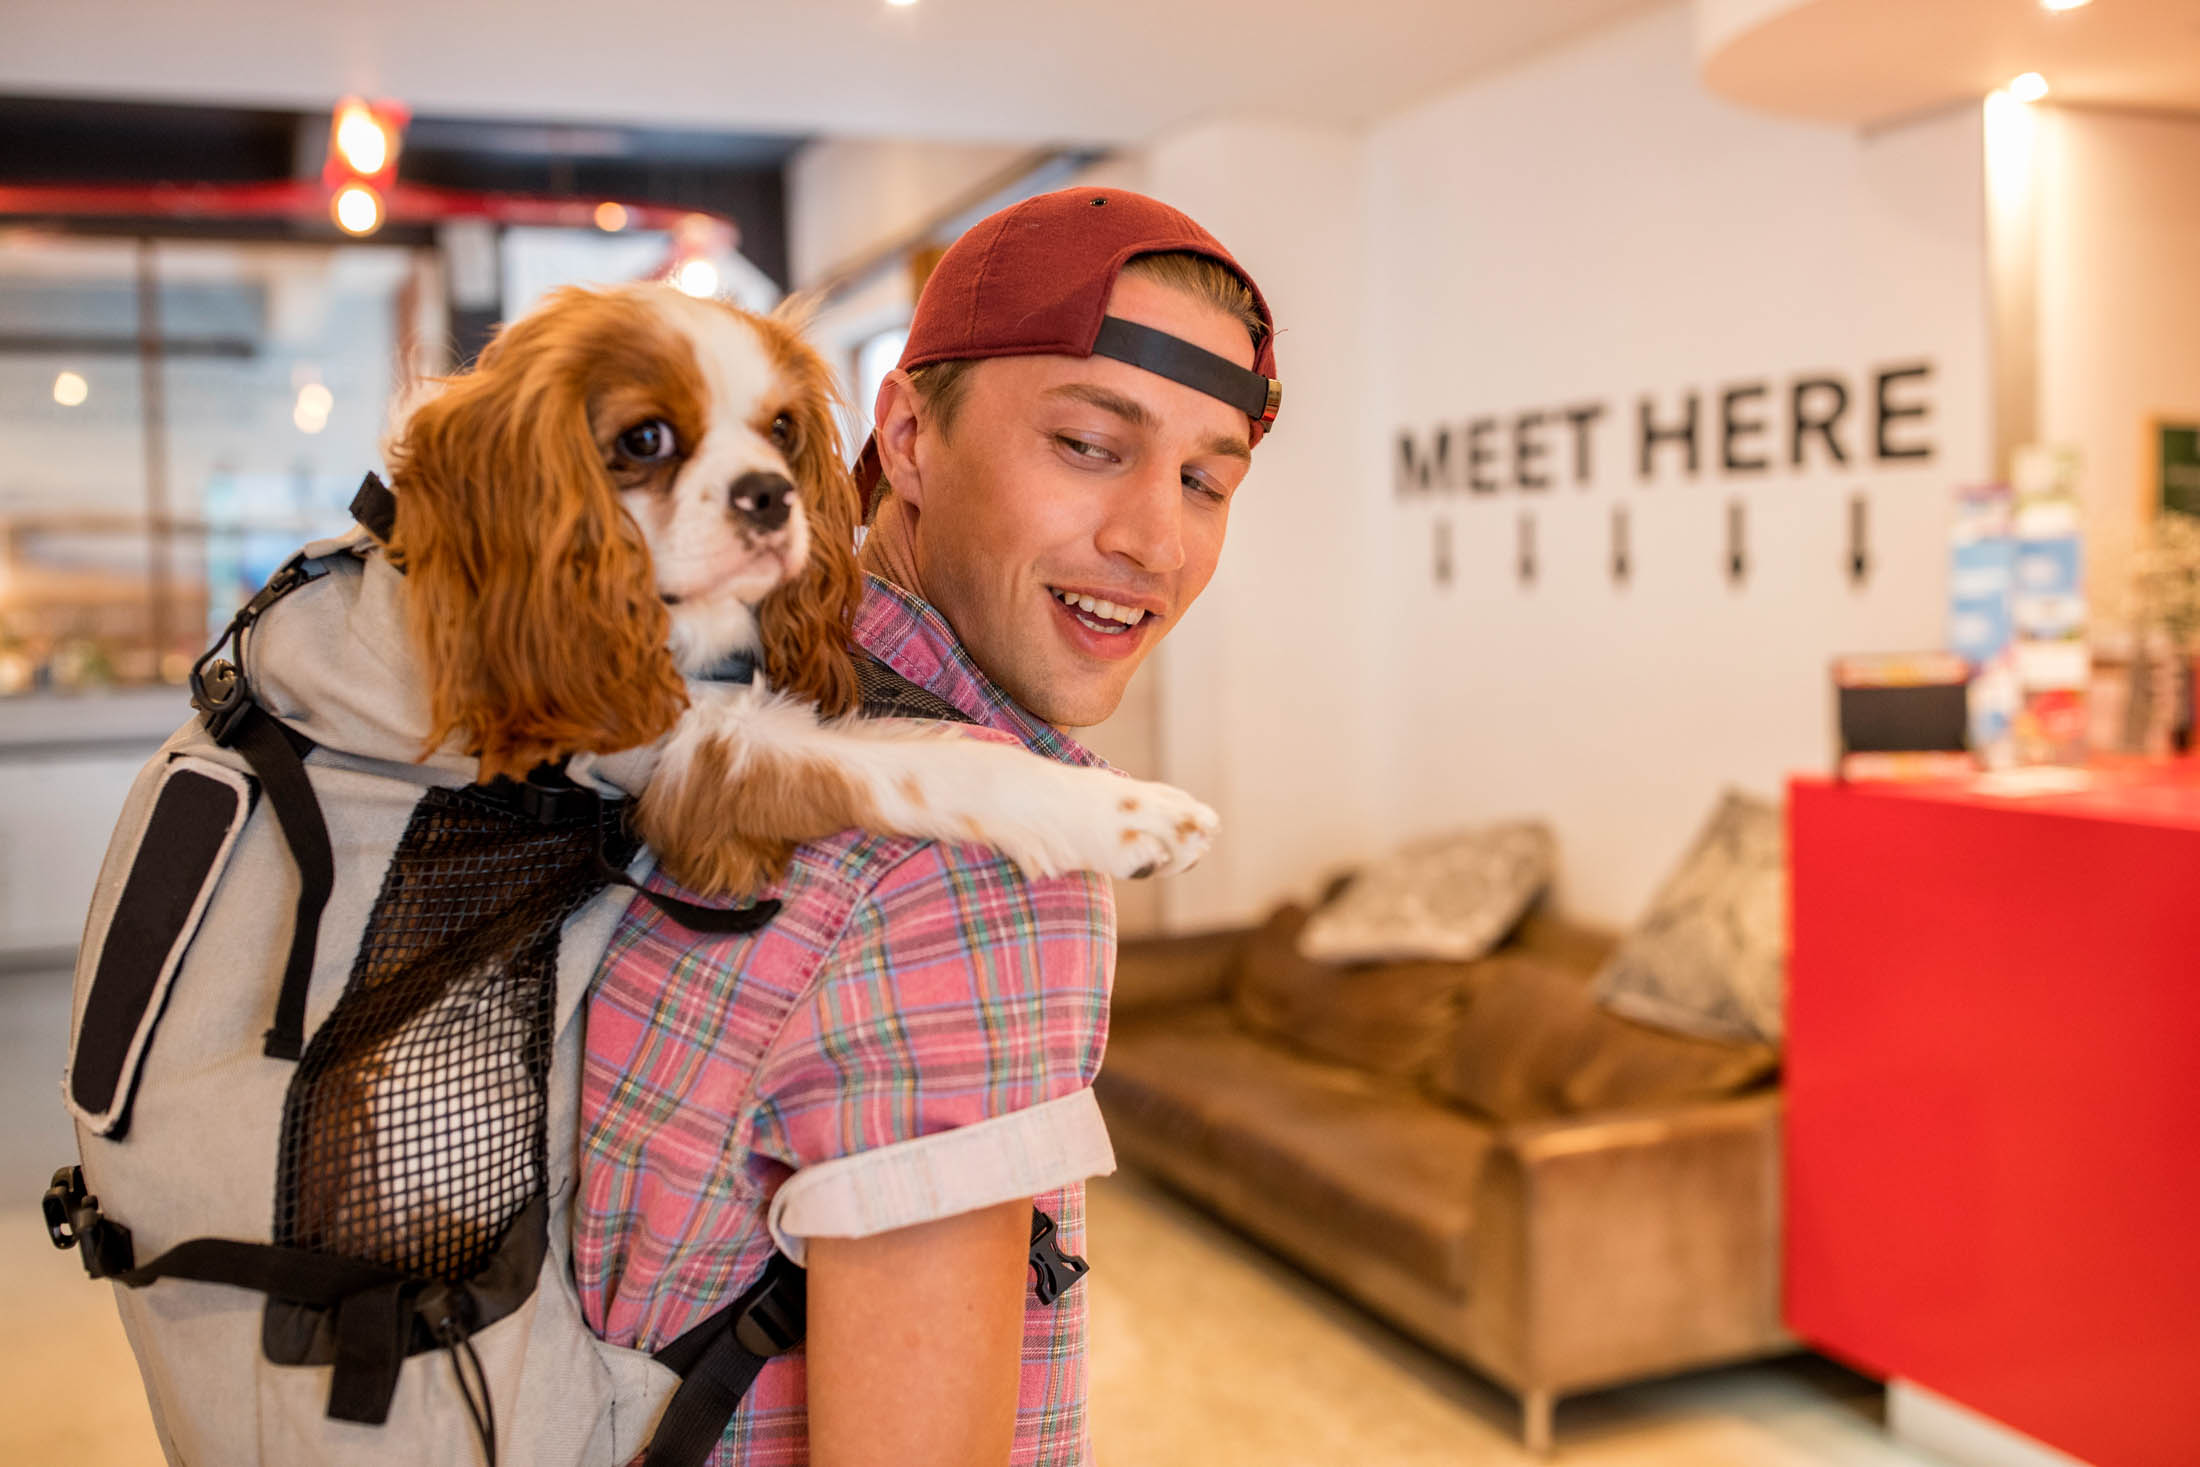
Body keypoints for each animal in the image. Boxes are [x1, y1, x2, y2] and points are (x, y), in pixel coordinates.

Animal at [391, 281, 1223, 888]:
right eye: (644, 439)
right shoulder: (679, 763)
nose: (769, 493)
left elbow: (906, 746)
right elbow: (921, 763)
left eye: (783, 429)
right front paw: (1126, 815)